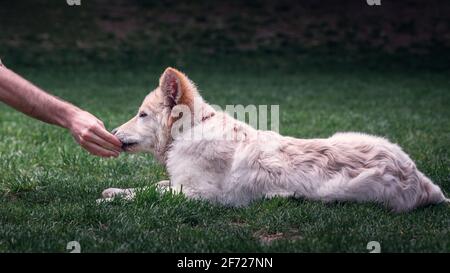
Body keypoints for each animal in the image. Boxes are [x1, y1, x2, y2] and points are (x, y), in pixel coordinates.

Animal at [100, 67, 448, 211]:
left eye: (142, 114)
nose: (112, 134)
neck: (192, 131)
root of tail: (423, 182)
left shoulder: (199, 195)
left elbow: (148, 193)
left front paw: (112, 197)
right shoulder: (180, 184)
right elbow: (153, 186)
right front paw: (115, 190)